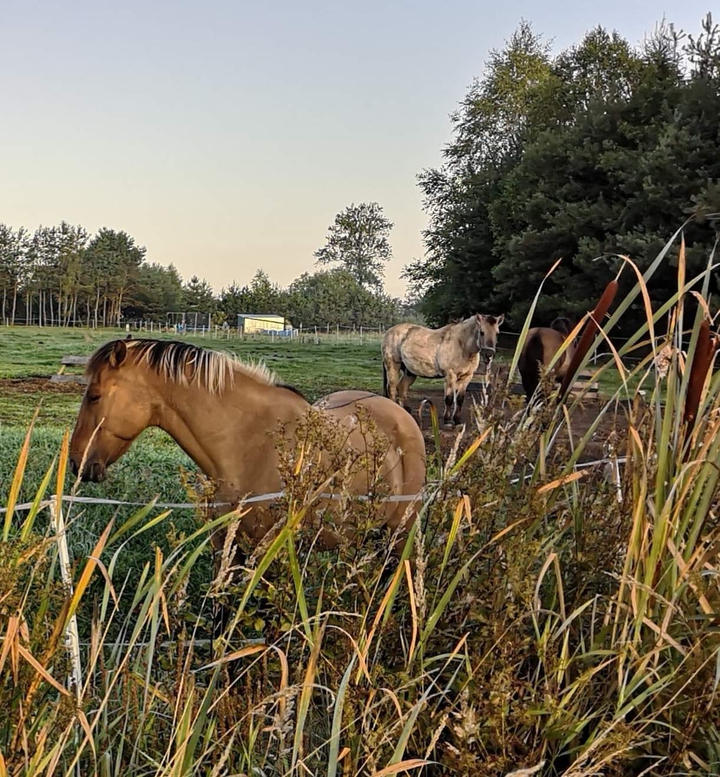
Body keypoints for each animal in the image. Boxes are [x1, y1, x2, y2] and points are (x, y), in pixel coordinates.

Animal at [68, 338, 427, 626]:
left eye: (95, 396)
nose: (76, 463)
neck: (248, 444)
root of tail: (400, 414)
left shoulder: (268, 553)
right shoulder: (226, 548)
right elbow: (221, 615)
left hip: (398, 535)